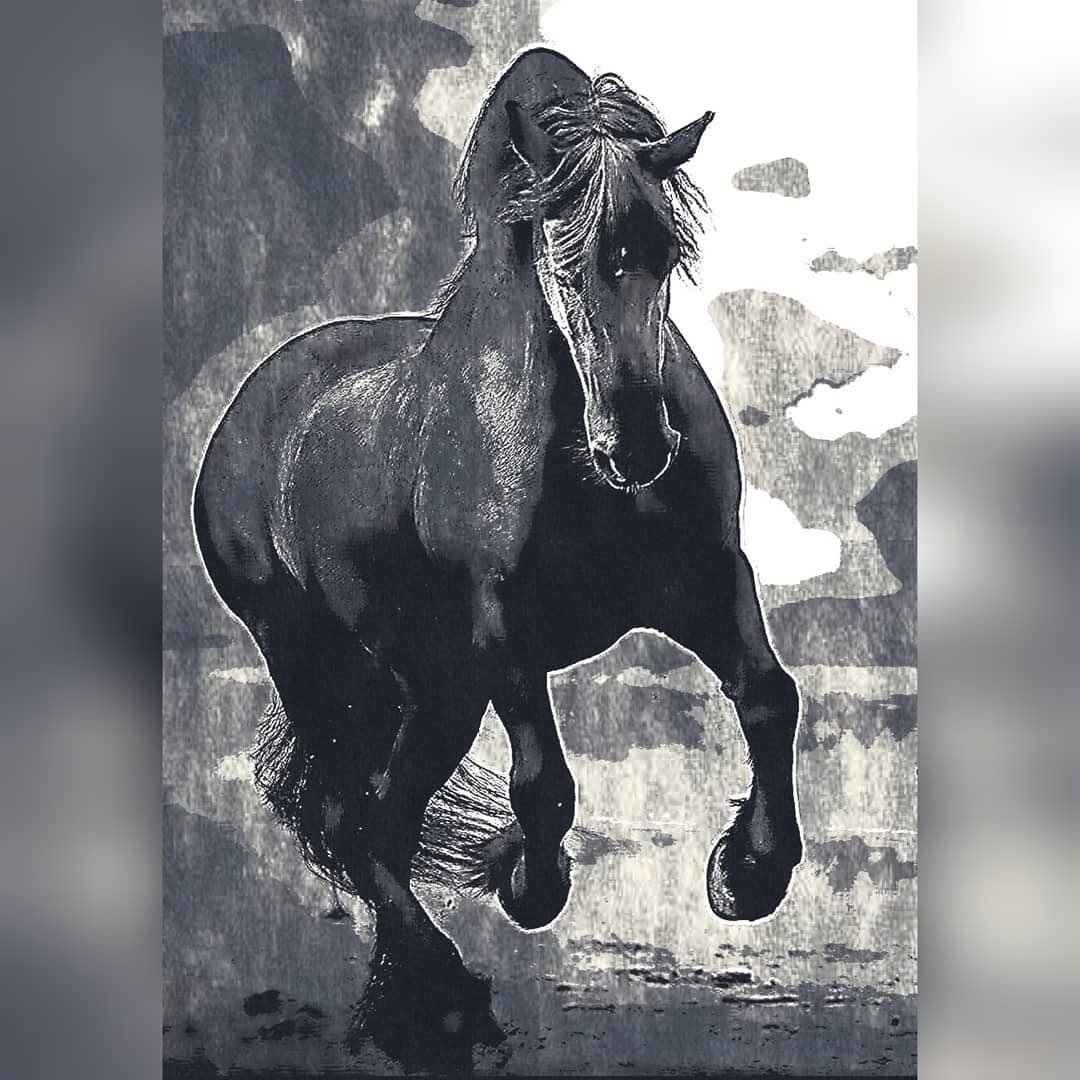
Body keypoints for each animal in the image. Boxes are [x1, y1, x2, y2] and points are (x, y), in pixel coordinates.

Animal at [194, 46, 802, 1070]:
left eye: (665, 251)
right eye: (561, 255)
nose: (638, 443)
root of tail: (244, 415)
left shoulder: (708, 582)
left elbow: (767, 696)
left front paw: (748, 873)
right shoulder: (501, 631)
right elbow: (543, 787)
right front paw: (527, 880)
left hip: (434, 688)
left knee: (382, 821)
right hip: (315, 655)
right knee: (353, 822)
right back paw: (441, 1004)